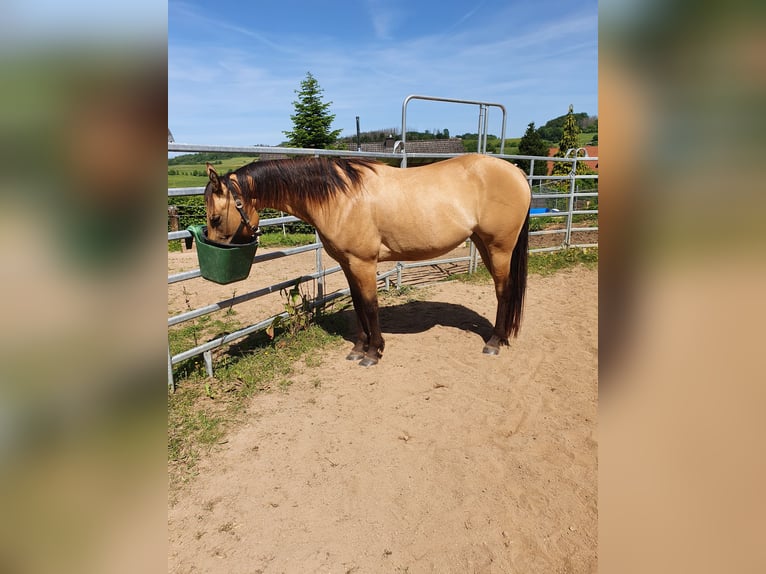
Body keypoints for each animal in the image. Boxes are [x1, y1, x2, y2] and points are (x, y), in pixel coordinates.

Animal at [204, 154, 536, 368]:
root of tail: (517, 173)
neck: (340, 198)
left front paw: (373, 352)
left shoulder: (364, 262)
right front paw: (359, 347)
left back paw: (495, 341)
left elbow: (371, 305)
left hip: (499, 247)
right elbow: (358, 303)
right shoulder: (348, 263)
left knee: (504, 291)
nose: (214, 270)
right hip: (482, 243)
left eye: (216, 218)